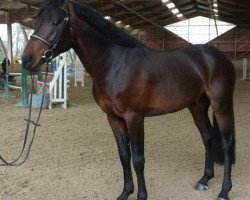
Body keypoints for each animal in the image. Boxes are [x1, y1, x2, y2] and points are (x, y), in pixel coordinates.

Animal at [22, 0, 236, 199]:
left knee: (226, 144)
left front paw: (141, 195)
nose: (26, 59)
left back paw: (224, 191)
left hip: (221, 105)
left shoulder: (134, 117)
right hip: (197, 105)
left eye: (55, 22)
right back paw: (204, 180)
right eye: (37, 21)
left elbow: (138, 159)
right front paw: (125, 192)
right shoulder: (114, 118)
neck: (114, 64)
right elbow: (124, 156)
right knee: (207, 137)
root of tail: (218, 57)